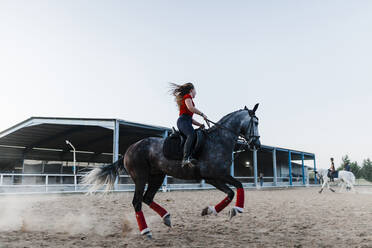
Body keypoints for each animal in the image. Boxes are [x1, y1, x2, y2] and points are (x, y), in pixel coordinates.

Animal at [83, 103, 260, 238]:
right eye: (256, 123)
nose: (256, 144)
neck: (219, 140)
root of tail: (129, 149)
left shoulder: (215, 177)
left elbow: (231, 192)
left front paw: (209, 210)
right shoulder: (215, 176)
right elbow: (237, 187)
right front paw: (237, 209)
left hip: (157, 176)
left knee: (147, 198)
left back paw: (166, 217)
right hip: (140, 177)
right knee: (137, 202)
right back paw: (146, 231)